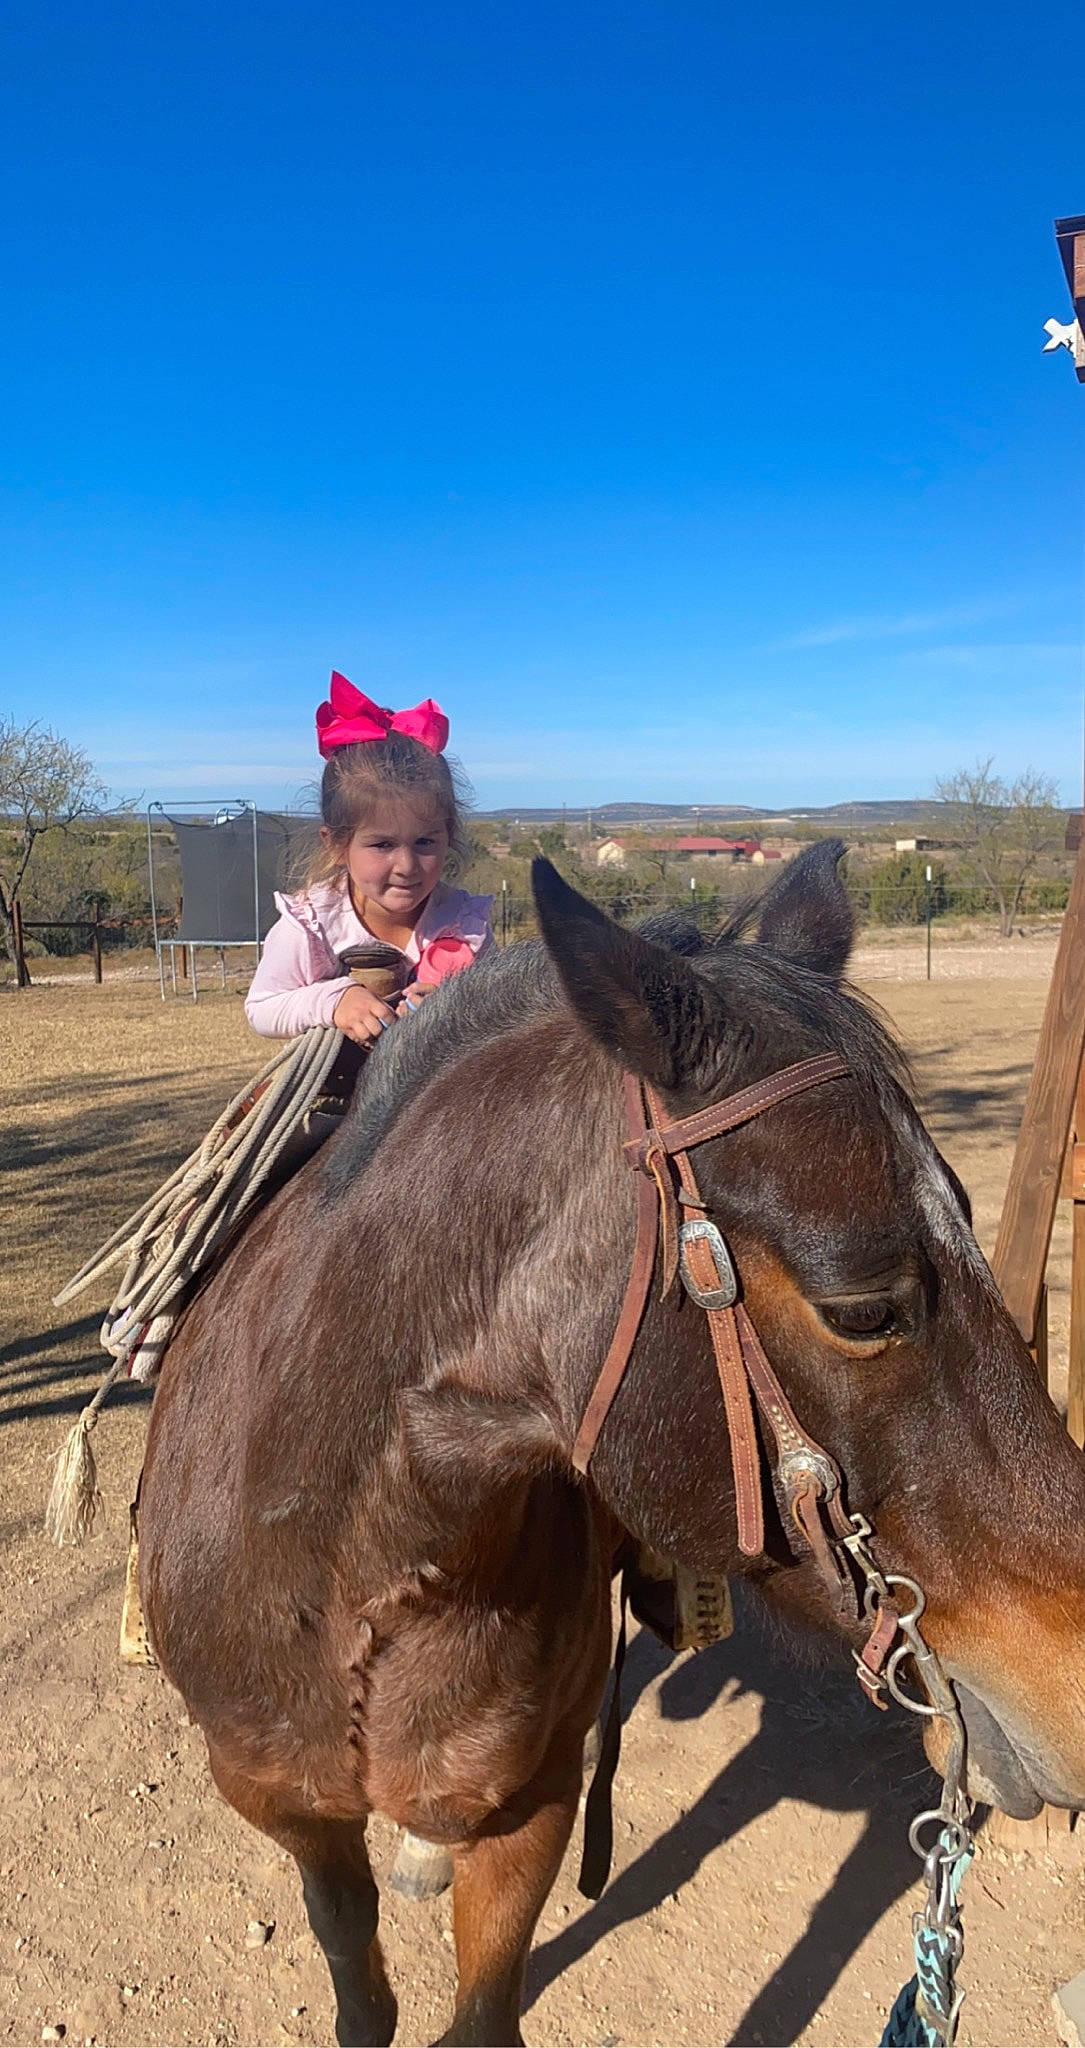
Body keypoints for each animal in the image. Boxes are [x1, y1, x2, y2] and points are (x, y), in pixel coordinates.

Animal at [139, 842, 1085, 2047]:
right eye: (864, 1308)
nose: (1078, 1685)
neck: (352, 1570)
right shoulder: (295, 1812)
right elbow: (361, 1991)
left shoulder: (533, 1799)